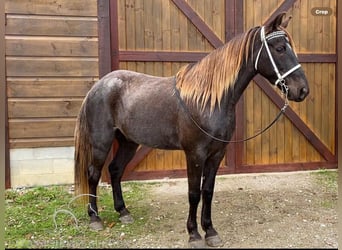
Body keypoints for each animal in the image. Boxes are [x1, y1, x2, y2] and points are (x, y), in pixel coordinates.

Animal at [74, 13, 310, 248]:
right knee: (93, 174)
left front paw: (211, 231)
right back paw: (95, 218)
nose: (302, 90)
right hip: (102, 142)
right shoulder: (195, 154)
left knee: (115, 170)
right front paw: (194, 234)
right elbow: (194, 193)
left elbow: (208, 191)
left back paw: (123, 212)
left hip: (128, 142)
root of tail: (98, 86)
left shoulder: (217, 154)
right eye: (280, 48)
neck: (209, 101)